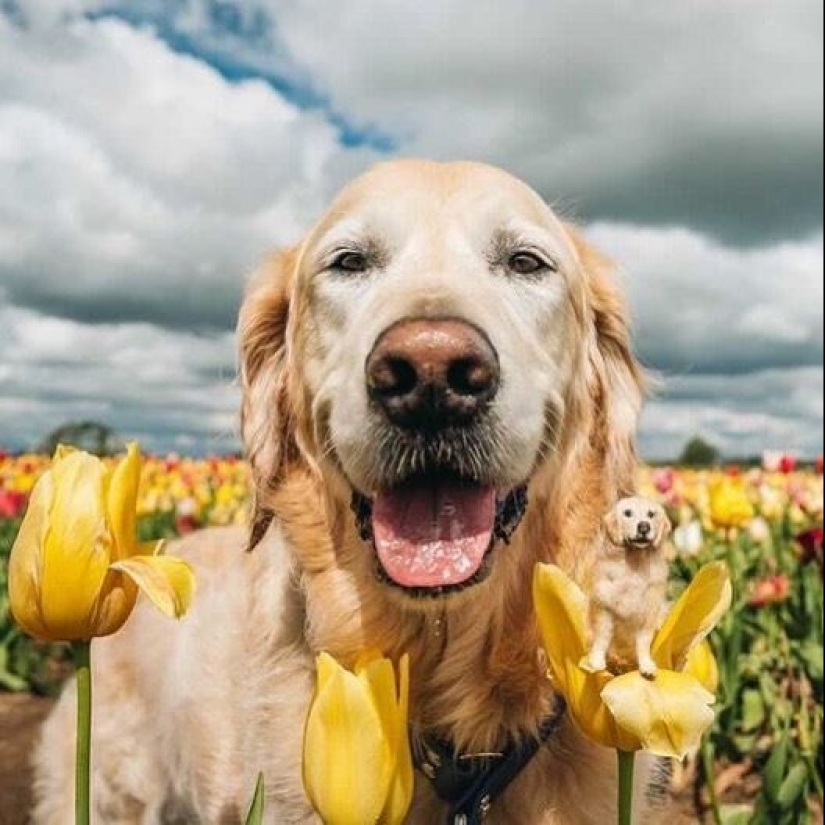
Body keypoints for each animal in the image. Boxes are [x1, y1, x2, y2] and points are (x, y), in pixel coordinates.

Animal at [584, 496, 668, 676]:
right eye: (627, 513)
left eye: (651, 514)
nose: (644, 527)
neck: (634, 565)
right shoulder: (604, 608)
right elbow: (603, 637)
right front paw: (596, 661)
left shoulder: (649, 612)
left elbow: (643, 642)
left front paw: (646, 666)